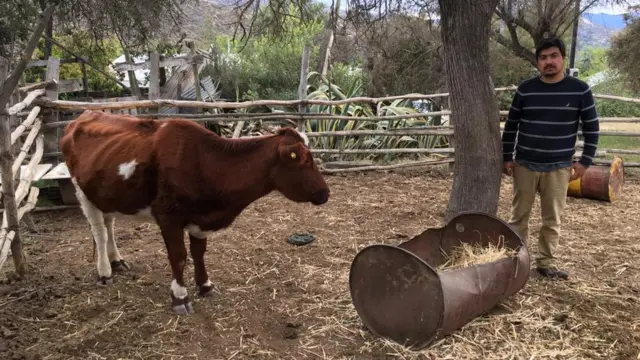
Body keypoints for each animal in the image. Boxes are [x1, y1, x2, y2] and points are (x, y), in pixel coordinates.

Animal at [60, 110, 330, 316]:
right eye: (303, 159)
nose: (325, 193)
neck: (204, 162)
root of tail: (85, 114)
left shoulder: (201, 218)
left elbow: (199, 252)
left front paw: (205, 285)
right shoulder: (168, 216)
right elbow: (179, 257)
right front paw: (180, 297)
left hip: (106, 195)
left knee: (109, 225)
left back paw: (117, 261)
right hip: (82, 192)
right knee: (99, 232)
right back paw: (105, 272)